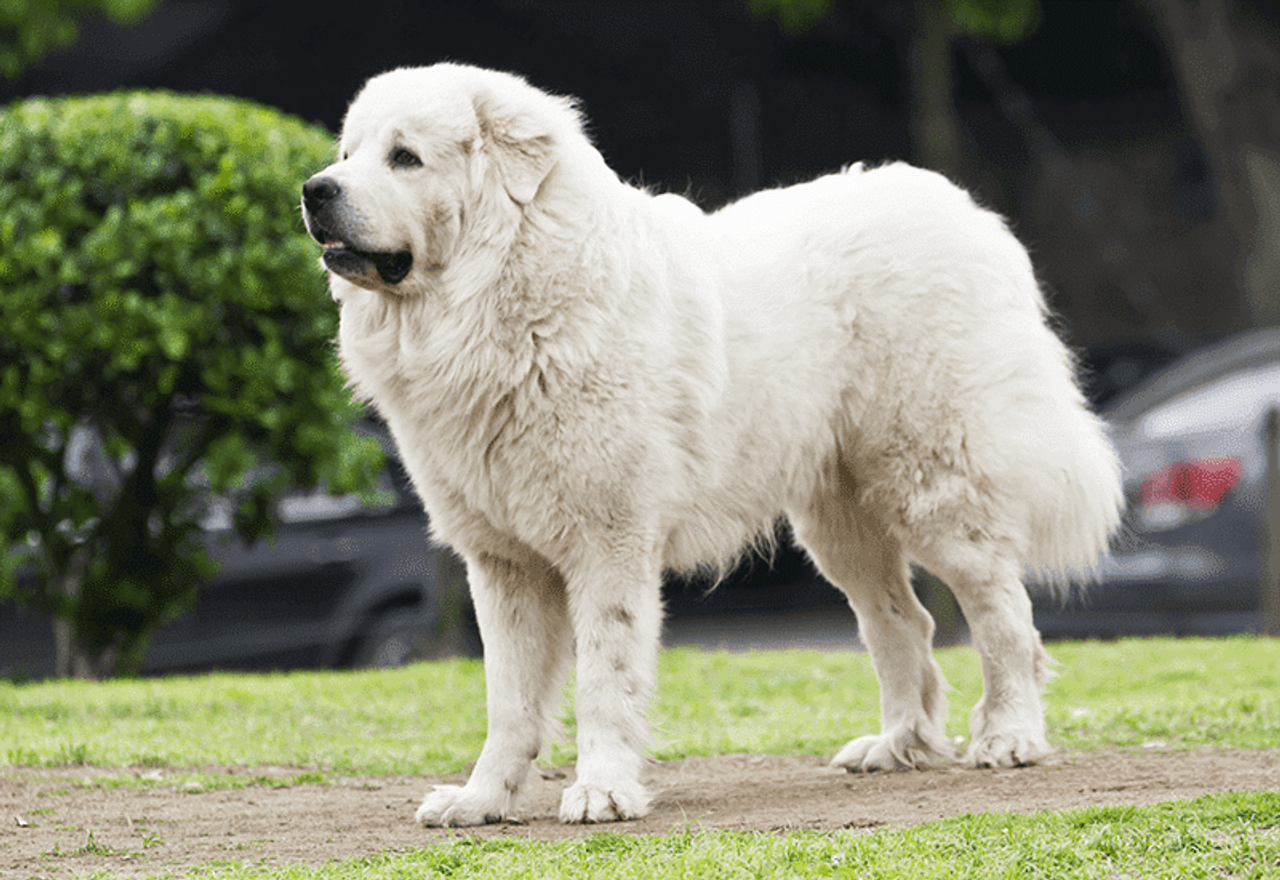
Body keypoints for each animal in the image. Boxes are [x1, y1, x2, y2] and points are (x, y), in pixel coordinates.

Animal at [299, 63, 1121, 823]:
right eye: (348, 152)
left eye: (405, 157)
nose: (313, 190)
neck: (507, 294)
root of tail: (967, 213)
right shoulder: (503, 562)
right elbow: (509, 701)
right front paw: (482, 800)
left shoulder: (609, 544)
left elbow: (604, 679)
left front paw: (602, 791)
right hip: (841, 526)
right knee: (903, 624)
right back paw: (897, 747)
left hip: (935, 488)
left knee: (1002, 614)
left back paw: (1009, 737)